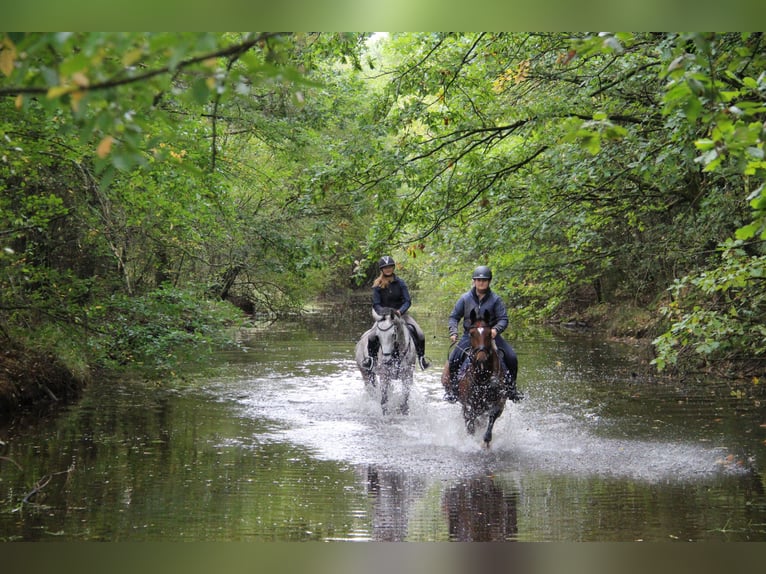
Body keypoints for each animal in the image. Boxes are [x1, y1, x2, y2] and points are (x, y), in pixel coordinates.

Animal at [444, 310, 510, 450]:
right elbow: (470, 424)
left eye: (490, 333)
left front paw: (486, 441)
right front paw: (471, 440)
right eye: (471, 333)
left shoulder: (499, 402)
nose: (481, 359)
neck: (482, 377)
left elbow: (492, 416)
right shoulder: (468, 405)